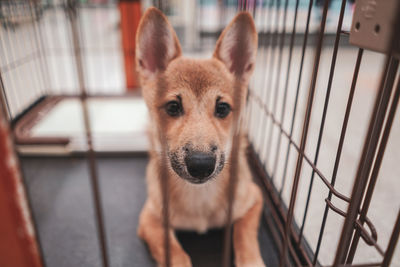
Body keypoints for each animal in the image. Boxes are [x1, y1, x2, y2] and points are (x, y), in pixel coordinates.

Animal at [136, 7, 264, 266]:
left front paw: (251, 260)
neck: (200, 197)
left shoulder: (254, 199)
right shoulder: (150, 218)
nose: (201, 164)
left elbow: (244, 236)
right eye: (173, 107)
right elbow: (175, 254)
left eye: (223, 108)